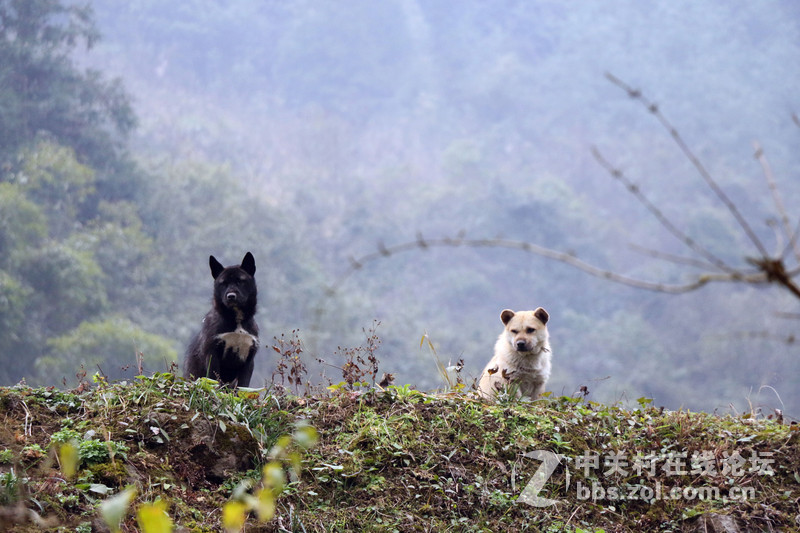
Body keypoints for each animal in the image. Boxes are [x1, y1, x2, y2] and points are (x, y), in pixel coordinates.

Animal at [184, 252, 260, 386]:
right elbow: (213, 379)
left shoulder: (249, 359)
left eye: (240, 281)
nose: (231, 296)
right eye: (223, 283)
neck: (237, 321)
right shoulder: (212, 354)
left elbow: (243, 386)